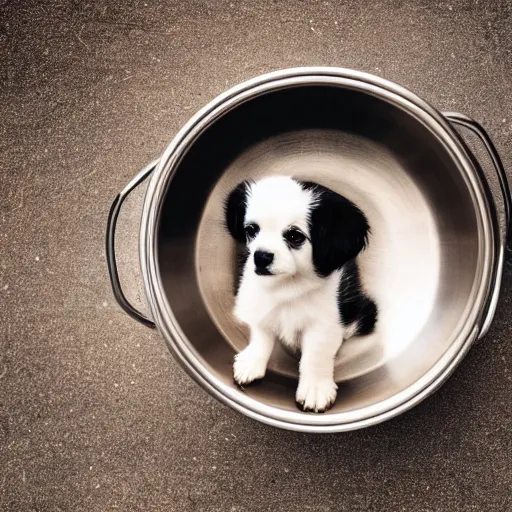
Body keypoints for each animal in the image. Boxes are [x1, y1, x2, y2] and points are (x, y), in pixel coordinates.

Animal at [224, 176, 376, 412]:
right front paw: (252, 361)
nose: (261, 257)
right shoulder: (260, 305)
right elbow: (261, 334)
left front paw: (315, 387)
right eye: (251, 230)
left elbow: (315, 355)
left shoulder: (325, 323)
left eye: (295, 236)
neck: (287, 286)